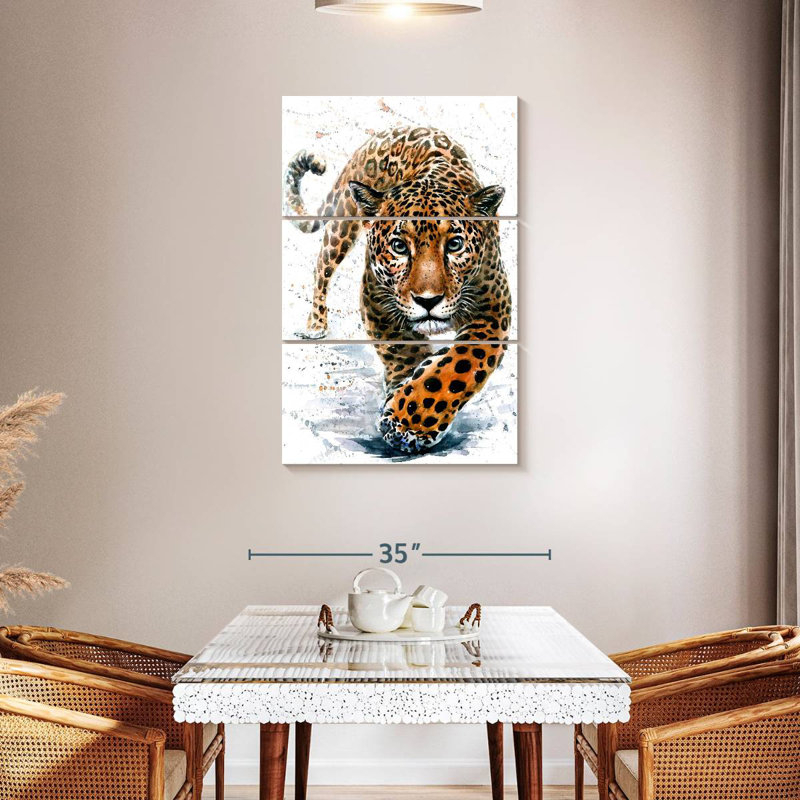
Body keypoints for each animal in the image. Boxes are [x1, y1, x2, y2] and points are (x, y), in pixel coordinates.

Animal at [285, 125, 512, 455]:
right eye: (399, 246)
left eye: (455, 244)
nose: (428, 300)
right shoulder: (377, 302)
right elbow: (404, 351)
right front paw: (406, 415)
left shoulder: (494, 309)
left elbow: (459, 365)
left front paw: (411, 421)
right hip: (342, 222)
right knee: (322, 267)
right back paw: (316, 324)